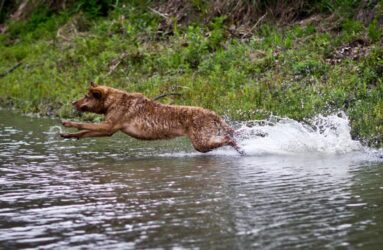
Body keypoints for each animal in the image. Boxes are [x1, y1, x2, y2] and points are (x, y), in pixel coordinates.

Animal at [61, 83, 244, 154]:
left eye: (86, 97)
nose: (73, 102)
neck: (112, 101)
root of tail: (212, 113)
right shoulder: (108, 130)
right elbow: (84, 132)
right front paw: (68, 135)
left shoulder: (109, 127)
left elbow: (82, 124)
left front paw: (67, 123)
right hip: (204, 139)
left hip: (200, 142)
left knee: (228, 138)